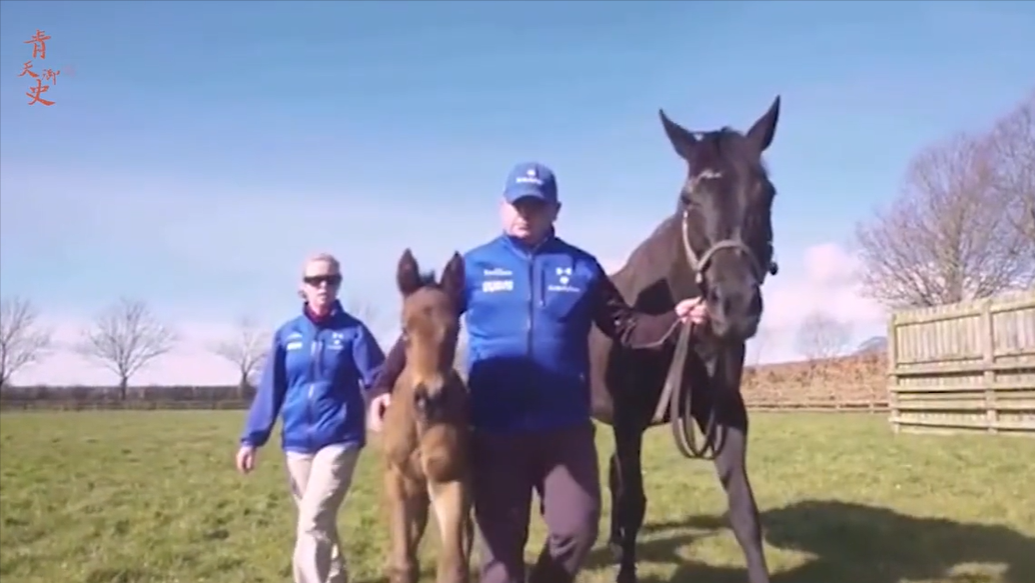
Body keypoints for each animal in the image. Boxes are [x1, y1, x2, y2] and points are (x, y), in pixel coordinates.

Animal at [380, 249, 474, 583]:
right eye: (404, 330)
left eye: (455, 330)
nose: (428, 399)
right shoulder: (398, 479)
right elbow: (404, 561)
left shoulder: (449, 478)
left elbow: (453, 565)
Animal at [589, 97, 782, 583]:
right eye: (689, 198)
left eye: (767, 194)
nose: (733, 306)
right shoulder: (627, 422)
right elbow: (634, 501)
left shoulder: (724, 414)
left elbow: (744, 510)